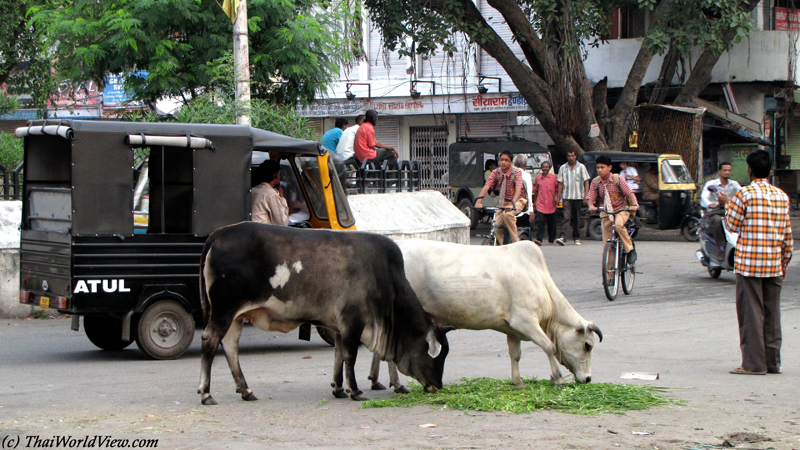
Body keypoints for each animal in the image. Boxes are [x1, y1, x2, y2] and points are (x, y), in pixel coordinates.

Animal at [196, 221, 450, 404]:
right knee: (210, 341)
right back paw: (207, 393)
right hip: (224, 310)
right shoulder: (353, 322)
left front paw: (338, 388)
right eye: (438, 356)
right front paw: (355, 390)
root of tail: (218, 233)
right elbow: (350, 356)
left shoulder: (339, 326)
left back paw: (246, 390)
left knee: (230, 347)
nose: (438, 386)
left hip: (235, 316)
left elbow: (338, 355)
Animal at [372, 239, 604, 386]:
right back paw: (396, 384)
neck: (540, 280)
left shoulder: (512, 328)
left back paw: (378, 382)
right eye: (587, 345)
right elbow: (549, 346)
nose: (588, 379)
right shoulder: (525, 321)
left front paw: (517, 381)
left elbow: (515, 354)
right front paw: (557, 378)